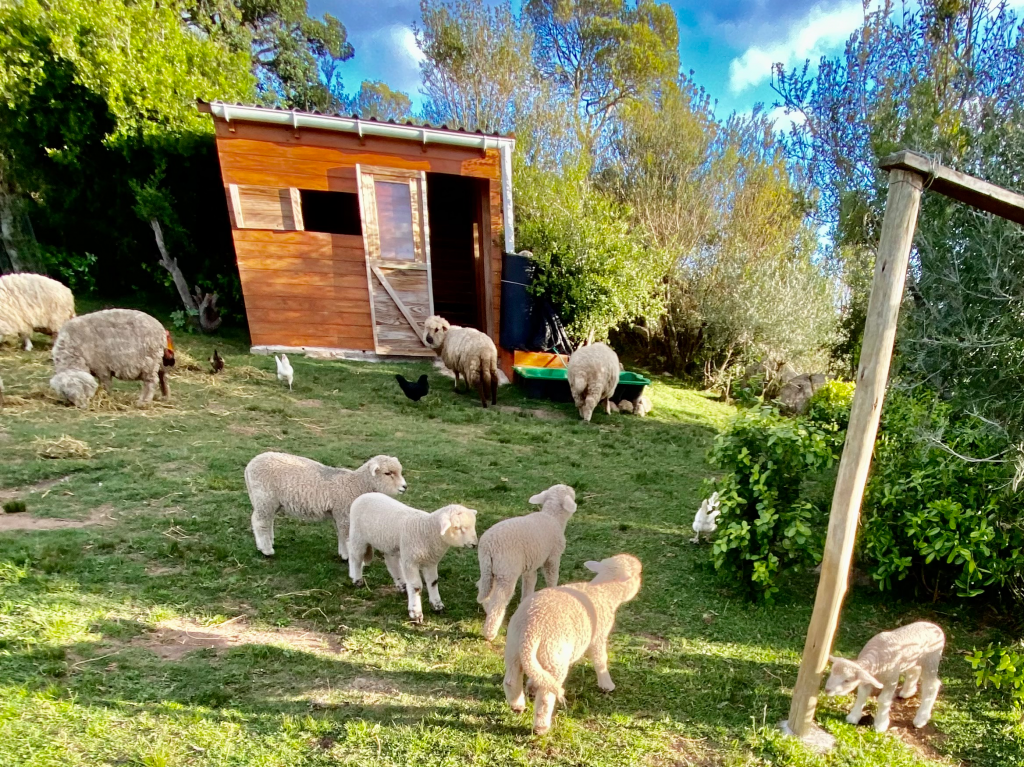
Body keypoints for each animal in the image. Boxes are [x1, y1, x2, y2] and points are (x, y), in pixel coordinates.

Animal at [244, 452, 406, 559]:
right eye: (388, 473)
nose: (404, 487)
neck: (357, 484)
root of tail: (249, 465)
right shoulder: (344, 514)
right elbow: (346, 536)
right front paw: (349, 557)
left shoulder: (338, 514)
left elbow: (341, 535)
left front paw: (343, 554)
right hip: (264, 497)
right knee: (260, 522)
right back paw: (266, 549)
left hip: (270, 501)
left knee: (267, 520)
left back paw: (269, 541)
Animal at [348, 492, 478, 623]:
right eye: (457, 527)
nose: (475, 544)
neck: (427, 531)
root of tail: (366, 494)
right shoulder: (410, 561)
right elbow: (416, 586)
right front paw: (416, 614)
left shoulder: (430, 562)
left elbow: (433, 582)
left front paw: (437, 606)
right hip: (358, 536)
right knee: (355, 557)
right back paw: (357, 580)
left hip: (388, 543)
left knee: (391, 563)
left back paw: (402, 586)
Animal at [477, 484, 578, 641]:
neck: (552, 517)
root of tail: (488, 546)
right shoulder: (553, 557)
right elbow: (552, 577)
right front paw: (553, 591)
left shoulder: (530, 565)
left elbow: (529, 583)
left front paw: (525, 601)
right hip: (506, 571)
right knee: (498, 601)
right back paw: (490, 632)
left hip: (488, 568)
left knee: (483, 588)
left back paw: (487, 609)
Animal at [504, 553, 643, 734]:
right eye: (638, 574)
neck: (603, 592)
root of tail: (531, 630)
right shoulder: (598, 636)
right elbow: (600, 660)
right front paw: (607, 684)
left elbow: (539, 675)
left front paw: (532, 687)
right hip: (553, 655)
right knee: (547, 694)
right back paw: (541, 727)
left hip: (514, 647)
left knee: (512, 679)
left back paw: (517, 705)